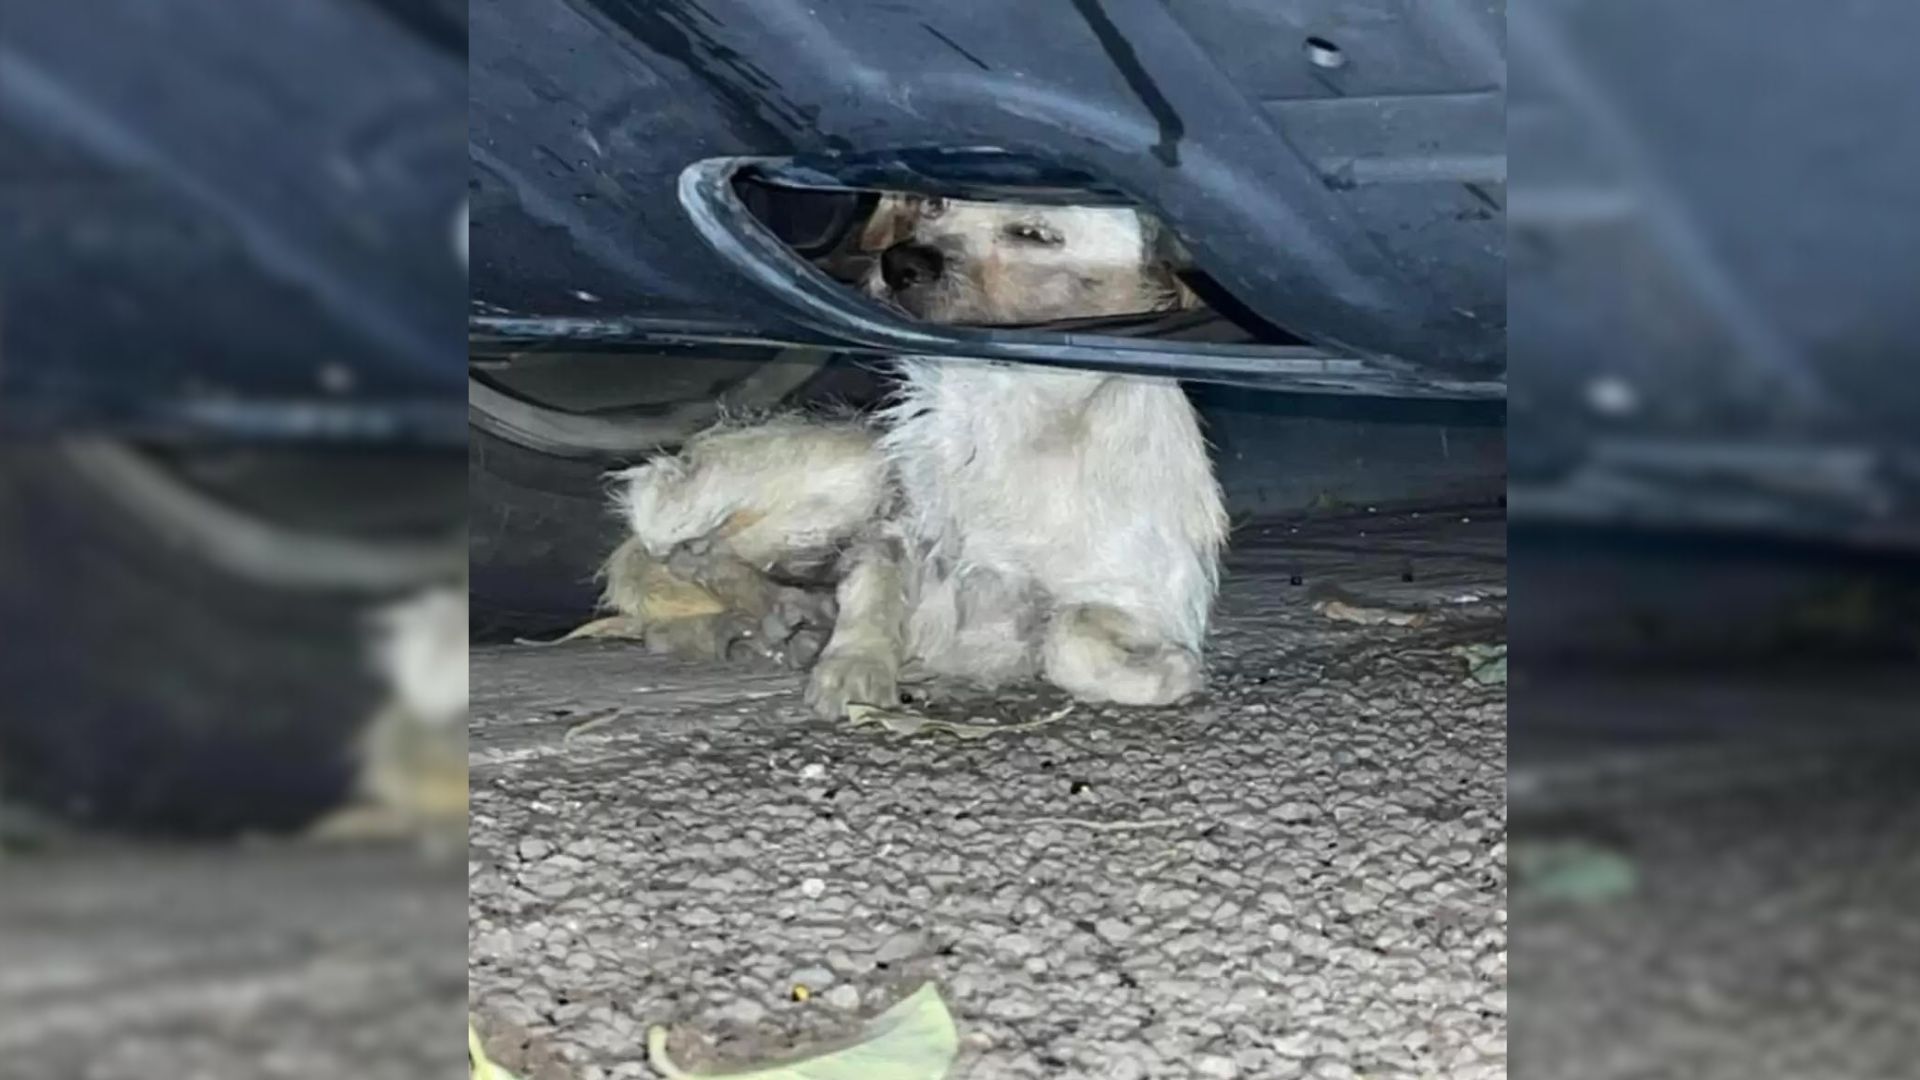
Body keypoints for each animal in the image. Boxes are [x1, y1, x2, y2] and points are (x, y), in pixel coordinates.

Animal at [602, 196, 1228, 711]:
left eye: (1034, 234)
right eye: (933, 204)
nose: (901, 262)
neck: (1004, 417)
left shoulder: (1145, 601)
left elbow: (1066, 638)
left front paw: (1169, 673)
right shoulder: (893, 534)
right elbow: (871, 589)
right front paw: (854, 663)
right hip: (854, 467)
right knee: (678, 549)